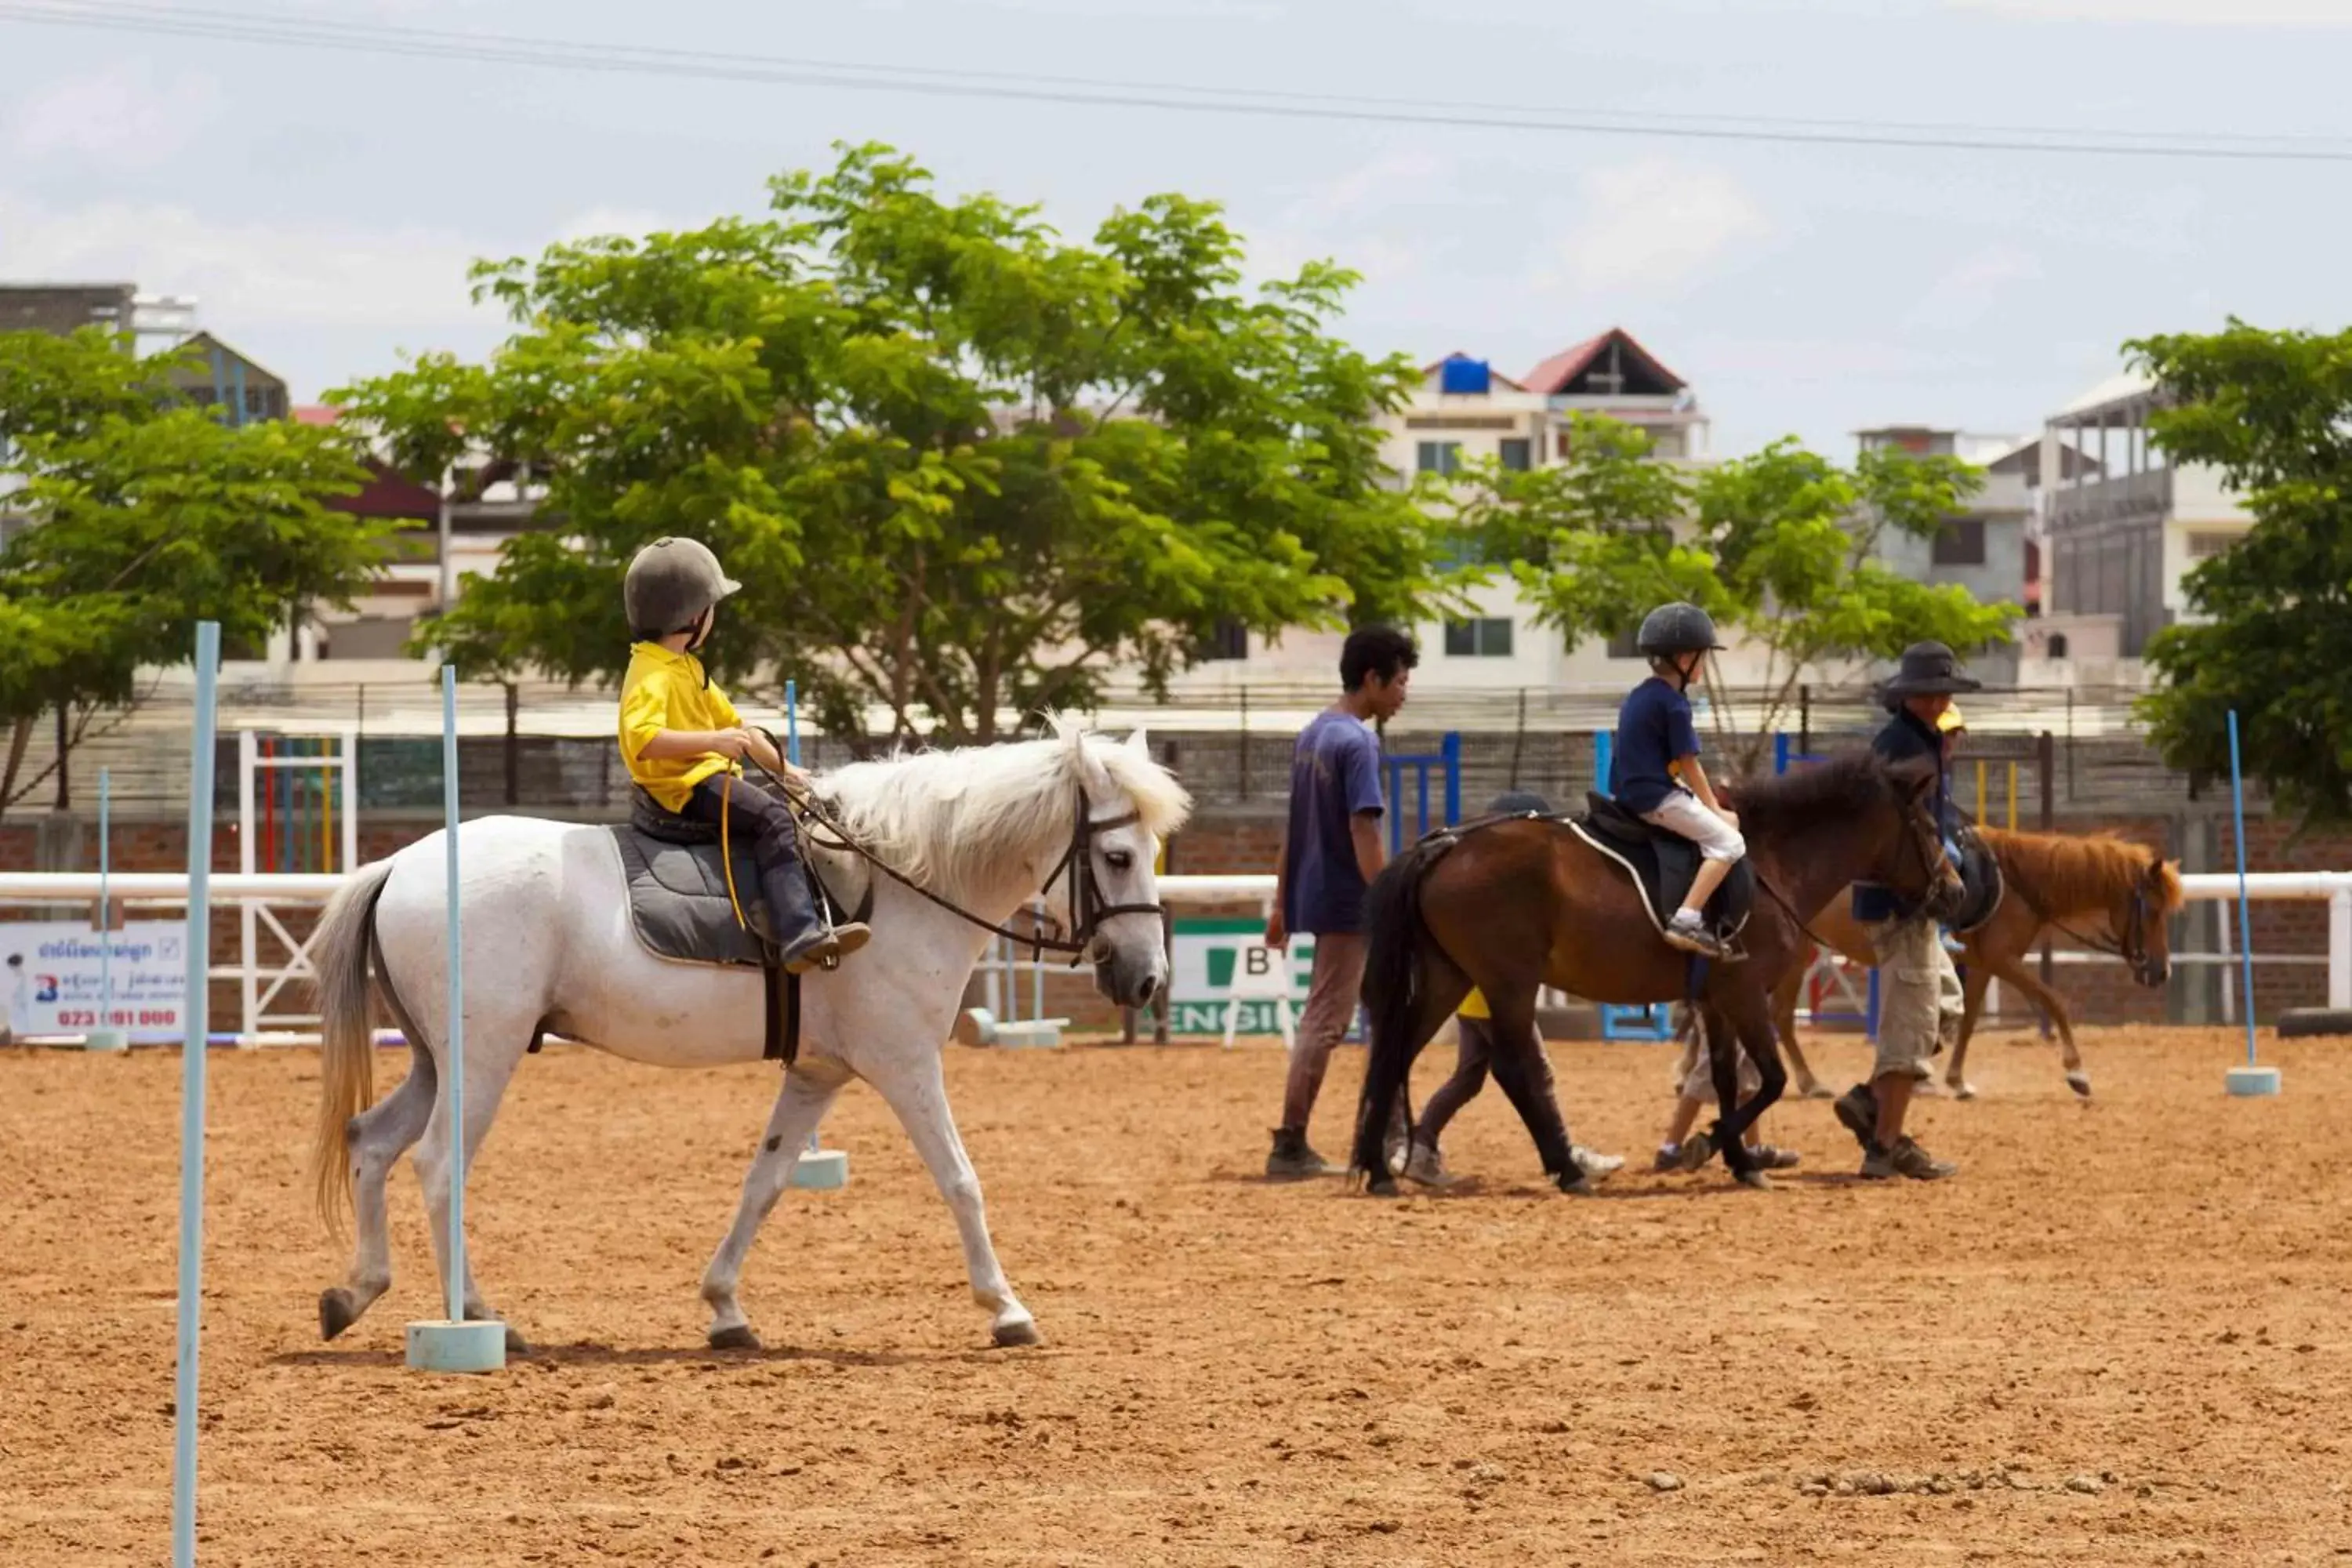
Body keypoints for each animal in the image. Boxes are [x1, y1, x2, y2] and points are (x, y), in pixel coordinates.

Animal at [308, 724, 1195, 1354]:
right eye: (1118, 855)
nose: (1148, 979)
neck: (902, 885)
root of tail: (398, 866)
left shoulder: (817, 1074)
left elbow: (763, 1184)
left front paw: (725, 1308)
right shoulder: (905, 1065)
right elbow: (961, 1180)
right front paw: (1006, 1308)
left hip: (435, 1060)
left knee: (372, 1141)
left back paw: (356, 1292)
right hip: (479, 1058)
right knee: (438, 1166)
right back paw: (474, 1316)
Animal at [1355, 752, 1957, 1194]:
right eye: (1929, 827)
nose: (1955, 891)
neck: (1769, 862)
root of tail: (1447, 846)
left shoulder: (1716, 1000)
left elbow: (1726, 1079)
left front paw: (1740, 1160)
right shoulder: (1745, 994)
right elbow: (1771, 1079)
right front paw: (1709, 1145)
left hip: (1450, 979)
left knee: (1397, 1052)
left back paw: (1381, 1170)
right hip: (1508, 984)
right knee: (1510, 1068)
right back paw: (1567, 1169)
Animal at [1769, 827, 2183, 1100]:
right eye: (2153, 910)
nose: (2162, 972)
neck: (2018, 884)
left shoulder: (1984, 965)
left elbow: (1968, 1021)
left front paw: (1956, 1080)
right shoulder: (2005, 961)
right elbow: (2054, 1001)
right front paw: (2077, 1072)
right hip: (1795, 954)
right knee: (1782, 1017)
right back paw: (1810, 1083)